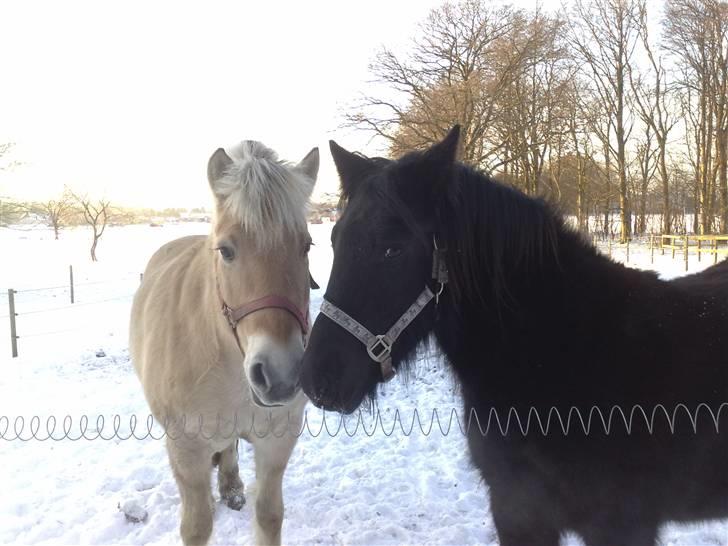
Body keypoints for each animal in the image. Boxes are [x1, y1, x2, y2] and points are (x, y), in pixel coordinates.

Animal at [130, 140, 318, 546]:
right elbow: (197, 525)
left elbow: (269, 516)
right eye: (226, 250)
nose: (280, 375)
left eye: (307, 246)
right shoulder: (187, 449)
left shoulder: (277, 440)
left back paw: (231, 486)